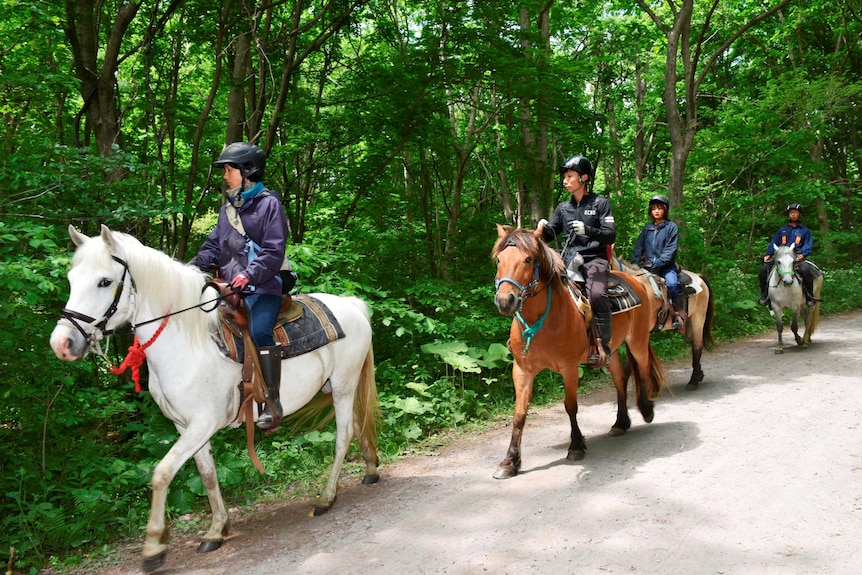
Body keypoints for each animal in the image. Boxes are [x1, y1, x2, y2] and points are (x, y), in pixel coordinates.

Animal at [49, 224, 380, 572]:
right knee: (357, 423)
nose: (62, 343)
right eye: (71, 279)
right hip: (338, 388)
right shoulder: (186, 427)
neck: (187, 341)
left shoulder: (202, 424)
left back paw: (326, 498)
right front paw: (217, 529)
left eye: (104, 281)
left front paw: (154, 547)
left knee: (343, 435)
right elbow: (207, 475)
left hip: (343, 386)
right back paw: (371, 469)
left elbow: (162, 474)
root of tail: (351, 304)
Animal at [492, 225, 668, 482]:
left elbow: (570, 406)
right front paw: (509, 461)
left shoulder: (569, 368)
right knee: (620, 378)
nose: (506, 301)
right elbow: (519, 414)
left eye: (528, 259)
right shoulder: (522, 370)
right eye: (499, 260)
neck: (542, 320)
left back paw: (646, 410)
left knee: (643, 369)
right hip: (610, 351)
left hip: (637, 341)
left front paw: (576, 446)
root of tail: (634, 281)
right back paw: (620, 423)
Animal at [612, 253, 720, 392]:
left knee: (697, 346)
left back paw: (693, 380)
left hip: (698, 319)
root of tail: (698, 276)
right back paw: (699, 374)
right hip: (685, 325)